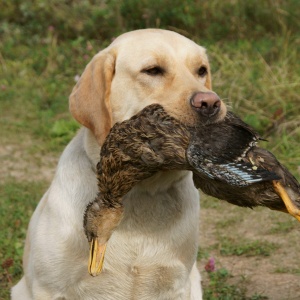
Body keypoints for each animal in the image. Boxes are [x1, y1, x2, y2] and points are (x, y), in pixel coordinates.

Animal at [12, 28, 227, 300]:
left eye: (201, 70)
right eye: (152, 70)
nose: (210, 103)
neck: (140, 192)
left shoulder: (176, 284)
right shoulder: (48, 287)